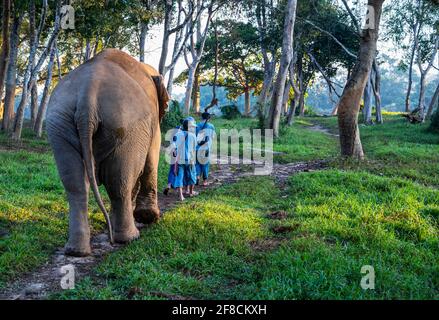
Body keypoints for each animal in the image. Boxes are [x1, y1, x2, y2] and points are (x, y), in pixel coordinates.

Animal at [46, 48, 170, 258]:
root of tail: (87, 94)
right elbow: (152, 155)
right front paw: (148, 218)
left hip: (59, 124)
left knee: (76, 185)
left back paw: (76, 251)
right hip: (125, 127)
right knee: (119, 181)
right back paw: (129, 238)